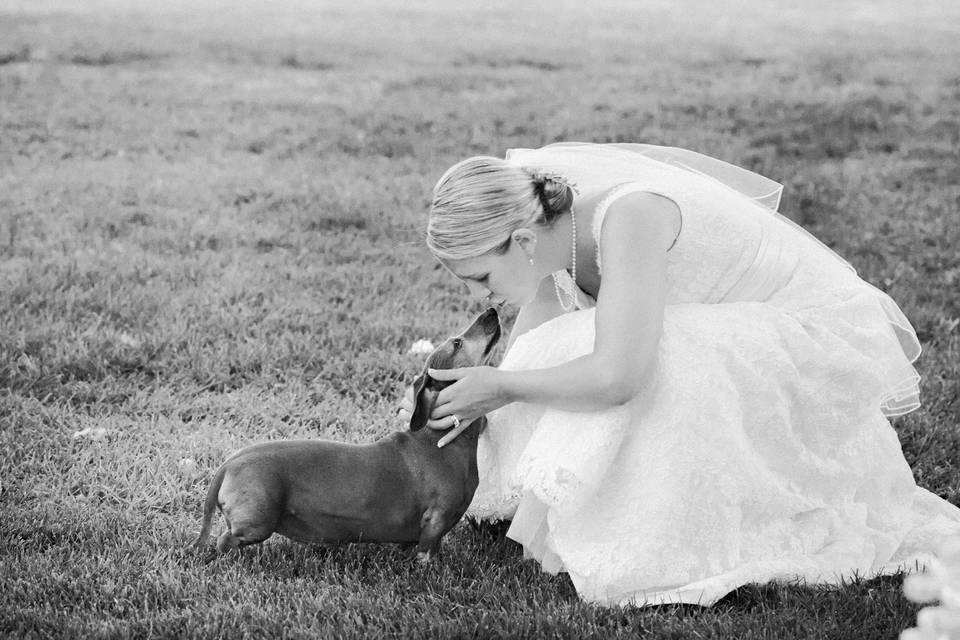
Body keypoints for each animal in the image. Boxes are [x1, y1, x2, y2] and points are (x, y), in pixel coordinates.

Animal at [191, 308, 498, 560]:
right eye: (457, 342)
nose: (492, 310)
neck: (440, 442)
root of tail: (230, 463)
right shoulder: (436, 520)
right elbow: (427, 552)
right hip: (257, 521)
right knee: (225, 541)